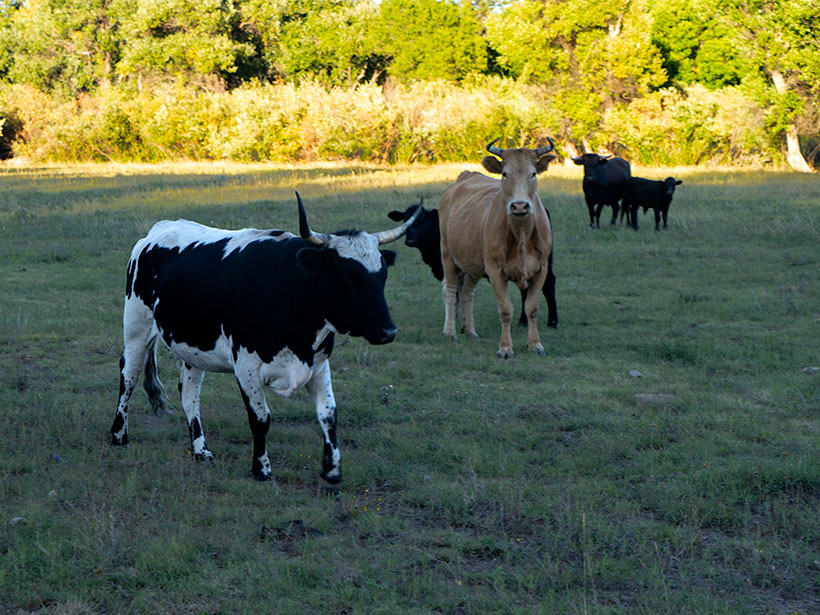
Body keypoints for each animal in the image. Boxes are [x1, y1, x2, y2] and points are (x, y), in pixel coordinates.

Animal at [109, 195, 420, 488]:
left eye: (382, 276)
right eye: (348, 278)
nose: (388, 332)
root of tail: (160, 228)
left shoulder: (318, 365)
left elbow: (329, 415)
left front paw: (332, 470)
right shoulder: (247, 366)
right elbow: (261, 418)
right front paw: (262, 469)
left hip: (193, 347)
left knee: (189, 393)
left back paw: (201, 451)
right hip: (136, 329)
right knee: (129, 377)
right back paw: (119, 436)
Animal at [438, 138, 560, 360]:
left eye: (533, 173)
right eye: (504, 174)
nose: (519, 206)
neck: (521, 236)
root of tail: (464, 176)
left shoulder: (541, 269)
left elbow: (532, 308)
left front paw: (535, 345)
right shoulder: (495, 271)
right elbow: (505, 310)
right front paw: (505, 348)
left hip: (474, 263)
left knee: (467, 292)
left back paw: (470, 331)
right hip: (448, 255)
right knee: (450, 289)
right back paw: (450, 332)